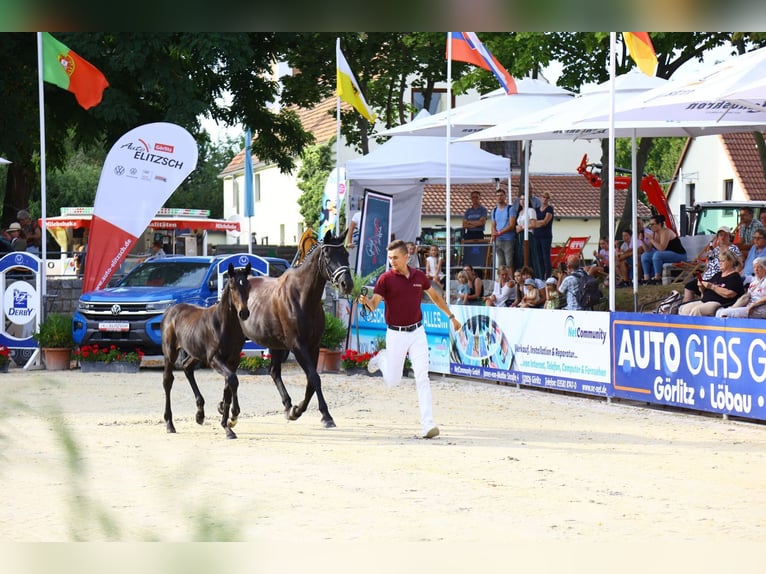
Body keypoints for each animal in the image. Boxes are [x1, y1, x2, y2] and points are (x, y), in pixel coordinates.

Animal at [161, 262, 252, 440]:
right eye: (232, 287)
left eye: (248, 286)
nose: (244, 313)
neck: (225, 325)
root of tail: (170, 310)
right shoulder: (214, 359)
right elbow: (232, 380)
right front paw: (231, 419)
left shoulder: (233, 360)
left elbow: (229, 385)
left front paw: (227, 419)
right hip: (170, 353)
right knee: (168, 380)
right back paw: (169, 423)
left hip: (196, 353)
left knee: (187, 367)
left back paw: (200, 414)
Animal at [240, 232, 354, 430]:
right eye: (328, 255)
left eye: (346, 254)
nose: (346, 283)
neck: (302, 297)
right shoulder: (297, 345)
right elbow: (314, 378)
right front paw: (326, 416)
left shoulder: (313, 346)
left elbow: (311, 380)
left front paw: (297, 410)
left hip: (275, 345)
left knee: (274, 371)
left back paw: (287, 405)